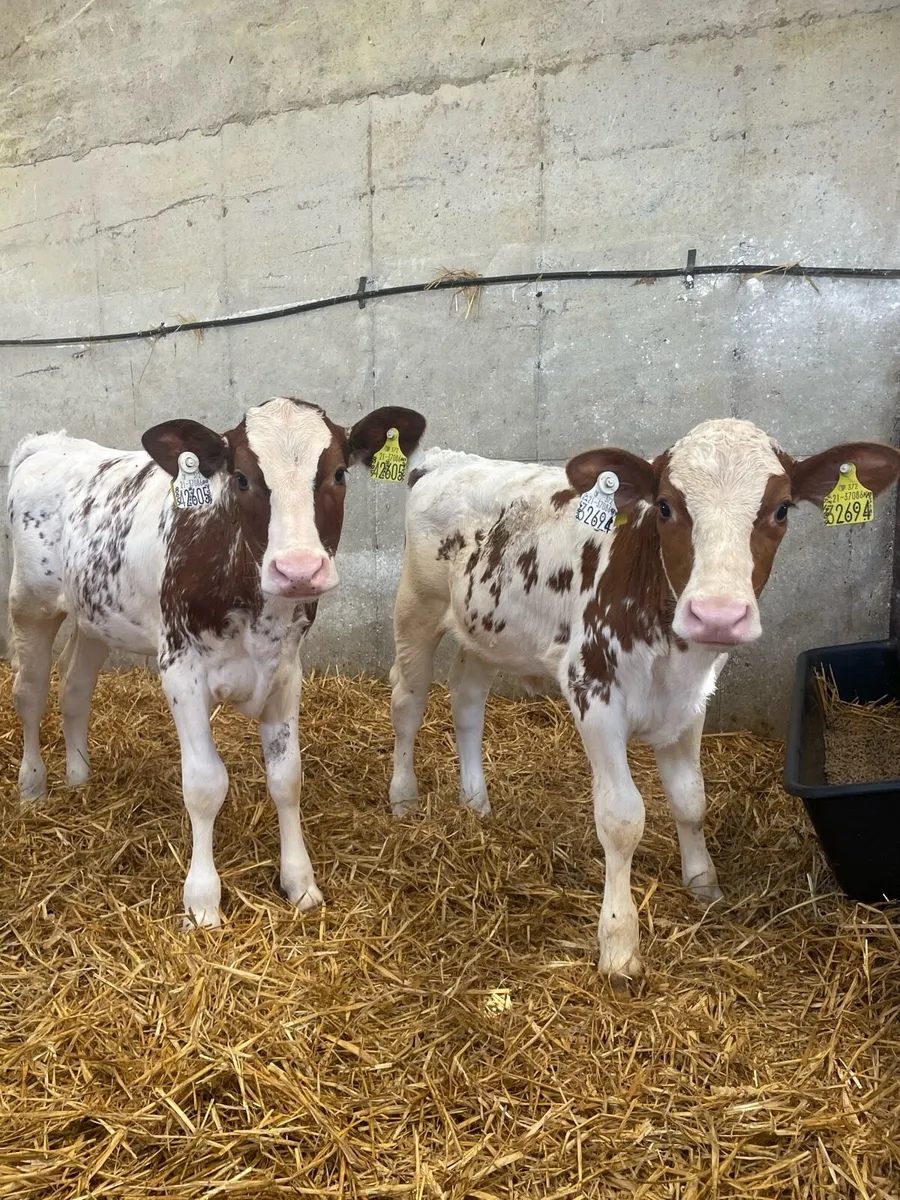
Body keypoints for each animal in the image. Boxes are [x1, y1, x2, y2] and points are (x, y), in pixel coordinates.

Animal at [7, 397, 425, 928]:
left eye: (337, 473)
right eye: (242, 478)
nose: (298, 570)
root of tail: (52, 441)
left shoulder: (286, 671)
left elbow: (287, 778)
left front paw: (299, 881)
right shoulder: (180, 672)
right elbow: (205, 784)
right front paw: (203, 900)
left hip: (96, 616)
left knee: (76, 689)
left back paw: (79, 778)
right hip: (31, 606)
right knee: (30, 693)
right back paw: (33, 785)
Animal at [386, 418, 900, 985]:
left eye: (782, 508)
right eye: (667, 506)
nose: (717, 615)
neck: (669, 648)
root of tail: (447, 458)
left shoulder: (692, 701)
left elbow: (691, 798)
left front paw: (704, 885)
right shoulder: (592, 690)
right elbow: (622, 818)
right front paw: (619, 944)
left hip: (486, 627)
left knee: (467, 698)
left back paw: (476, 802)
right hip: (416, 606)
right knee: (408, 699)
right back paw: (403, 798)